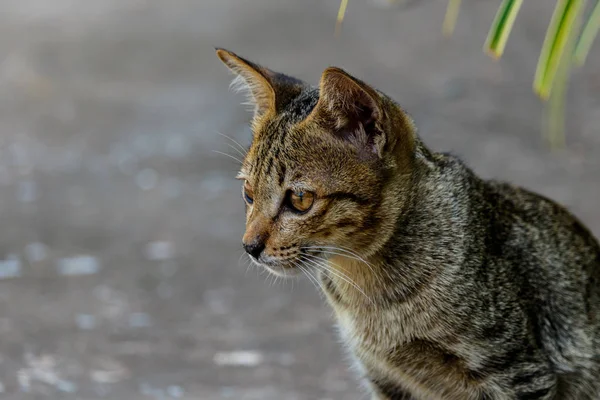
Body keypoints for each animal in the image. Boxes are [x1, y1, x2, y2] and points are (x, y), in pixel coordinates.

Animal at [216, 49, 600, 400]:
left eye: (299, 199)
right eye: (248, 193)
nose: (249, 246)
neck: (373, 296)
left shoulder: (518, 371)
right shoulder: (384, 378)